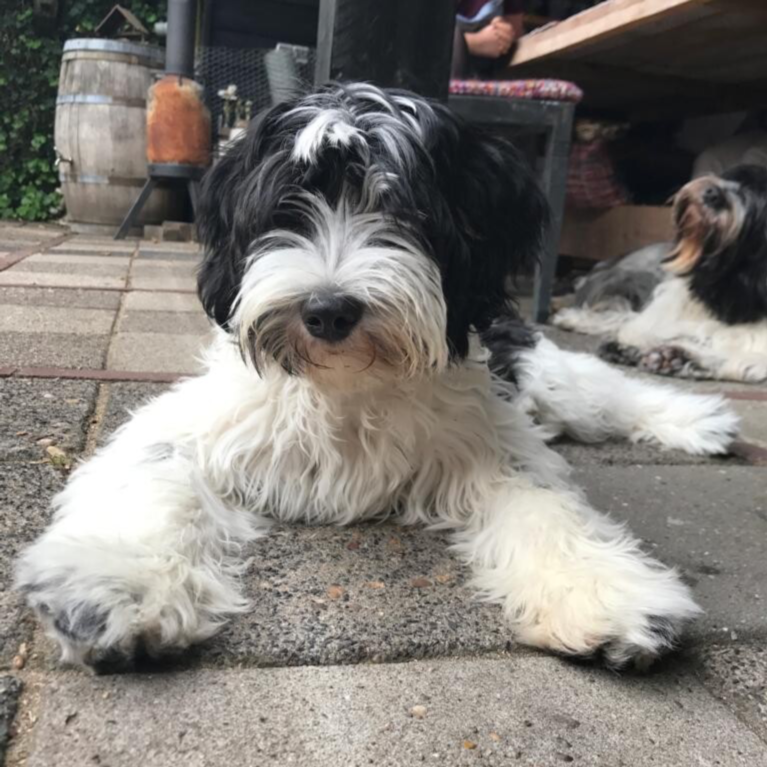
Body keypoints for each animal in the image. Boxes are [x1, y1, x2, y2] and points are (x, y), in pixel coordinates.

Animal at [15, 84, 738, 672]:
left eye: (409, 214)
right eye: (287, 207)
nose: (328, 310)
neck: (346, 385)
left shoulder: (495, 446)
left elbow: (545, 505)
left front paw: (604, 590)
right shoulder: (188, 426)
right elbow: (155, 476)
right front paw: (116, 587)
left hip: (542, 370)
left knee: (605, 393)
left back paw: (698, 419)